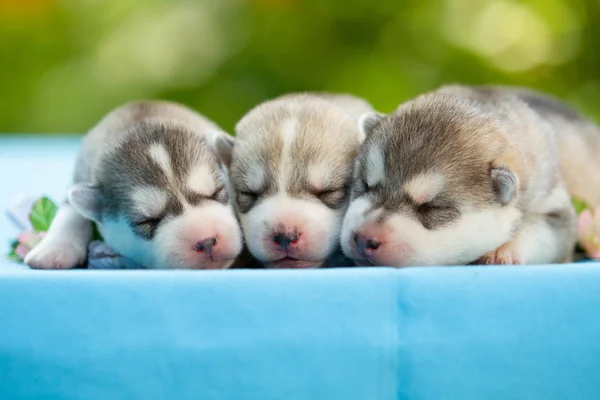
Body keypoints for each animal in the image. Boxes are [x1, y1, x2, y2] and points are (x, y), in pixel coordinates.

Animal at [25, 100, 241, 270]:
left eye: (216, 192)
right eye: (147, 221)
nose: (206, 242)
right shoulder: (82, 174)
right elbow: (71, 206)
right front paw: (55, 247)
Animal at [340, 85, 600, 266]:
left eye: (432, 208)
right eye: (365, 185)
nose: (364, 239)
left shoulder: (556, 208)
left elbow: (541, 230)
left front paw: (504, 249)